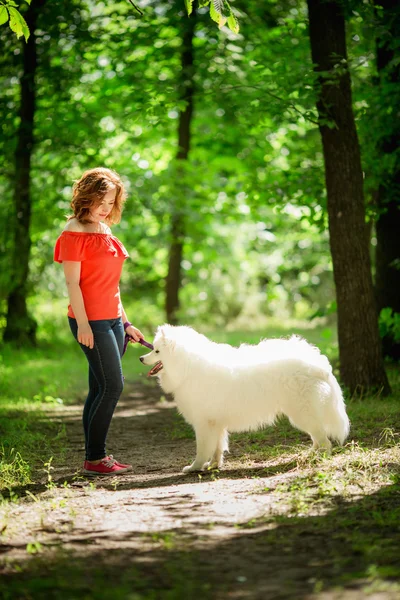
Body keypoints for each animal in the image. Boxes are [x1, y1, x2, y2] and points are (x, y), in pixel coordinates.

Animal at [141, 326, 350, 472]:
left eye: (157, 351)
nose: (141, 358)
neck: (186, 366)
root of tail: (317, 363)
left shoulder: (203, 423)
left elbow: (203, 449)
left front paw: (195, 467)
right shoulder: (215, 423)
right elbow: (217, 448)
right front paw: (213, 465)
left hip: (302, 413)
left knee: (324, 441)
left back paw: (319, 459)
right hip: (303, 414)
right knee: (317, 438)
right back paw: (309, 455)